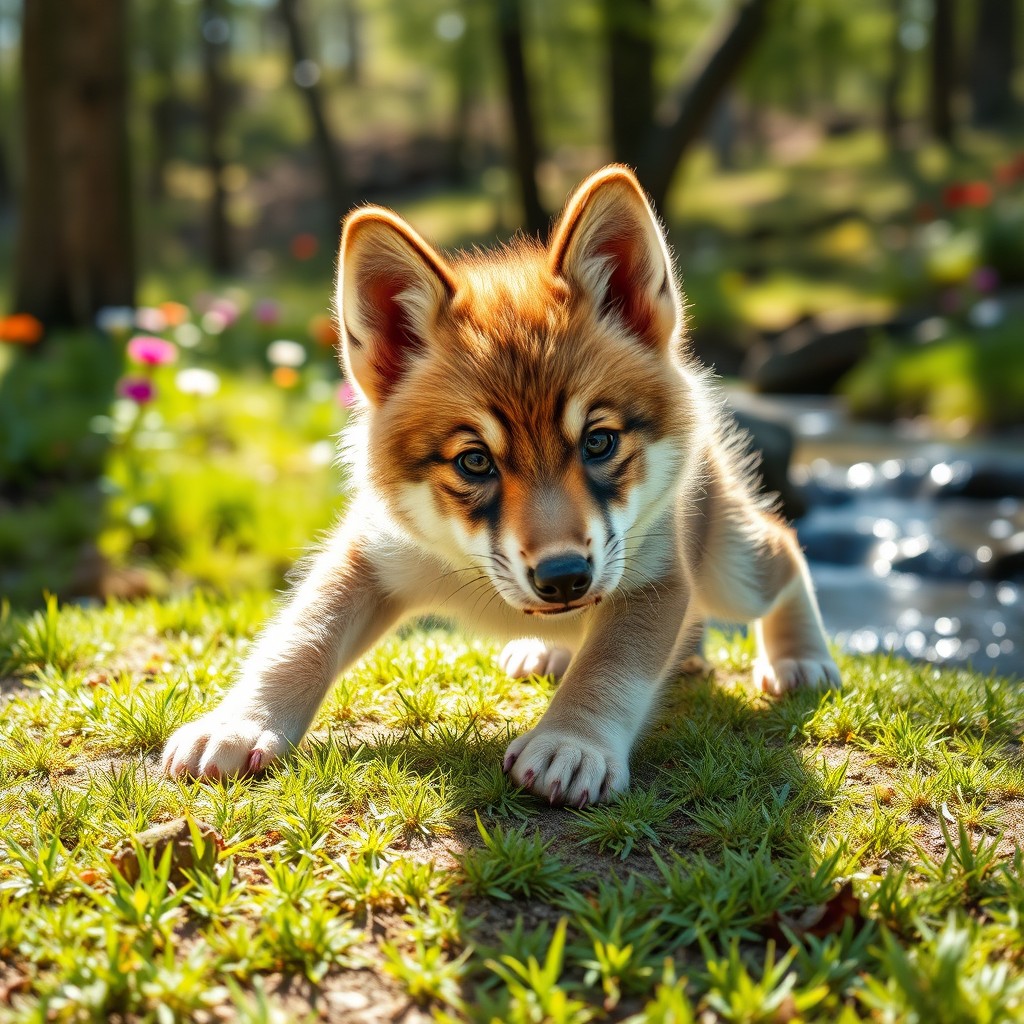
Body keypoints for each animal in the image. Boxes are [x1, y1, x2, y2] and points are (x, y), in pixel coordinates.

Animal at [162, 165, 839, 807]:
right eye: (474, 462)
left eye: (598, 442)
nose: (564, 578)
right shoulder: (368, 556)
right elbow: (299, 637)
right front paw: (238, 723)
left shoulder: (656, 576)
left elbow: (611, 667)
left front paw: (573, 743)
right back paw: (549, 648)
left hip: (729, 566)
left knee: (782, 547)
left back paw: (802, 657)